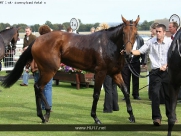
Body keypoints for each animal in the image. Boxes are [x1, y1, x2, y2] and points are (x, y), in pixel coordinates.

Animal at [1, 15, 139, 123]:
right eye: (123, 33)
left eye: (135, 34)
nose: (128, 53)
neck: (108, 44)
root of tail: (37, 40)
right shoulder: (100, 73)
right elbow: (96, 94)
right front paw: (95, 117)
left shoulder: (115, 73)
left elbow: (126, 91)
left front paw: (132, 116)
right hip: (49, 70)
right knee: (38, 87)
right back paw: (45, 113)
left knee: (38, 88)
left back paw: (43, 114)